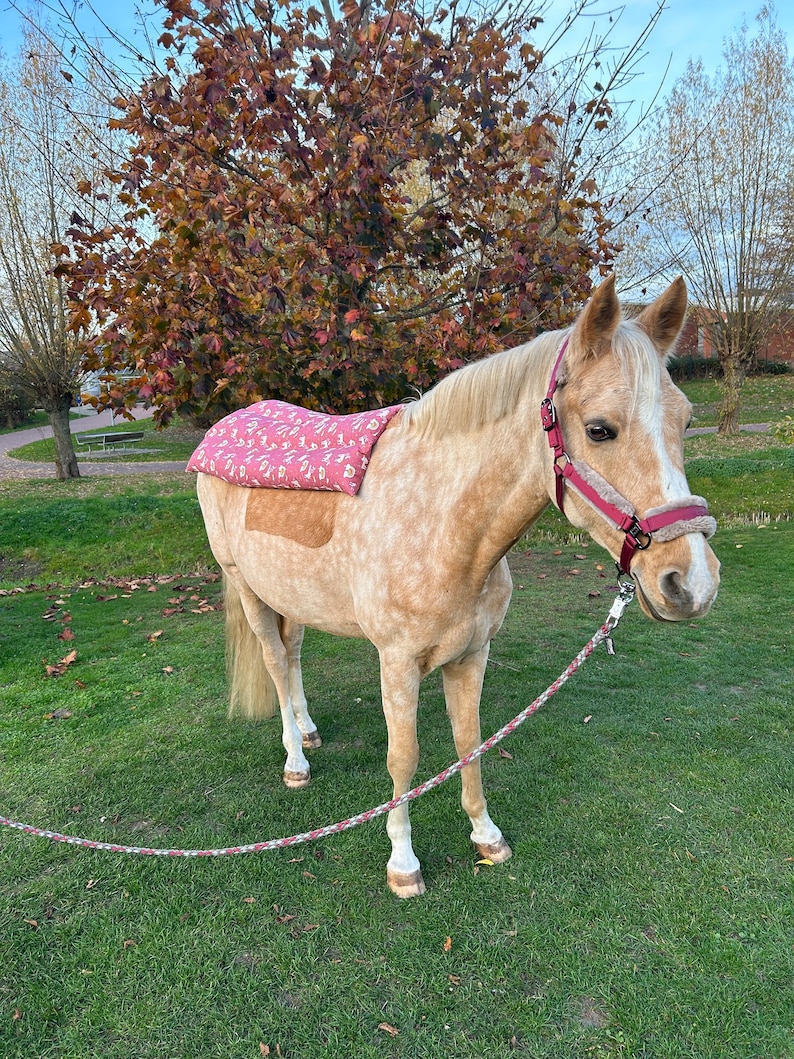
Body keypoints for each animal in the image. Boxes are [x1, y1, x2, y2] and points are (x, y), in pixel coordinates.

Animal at [192, 273, 719, 893]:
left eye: (686, 421)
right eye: (599, 430)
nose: (693, 583)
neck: (444, 525)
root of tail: (223, 427)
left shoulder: (471, 654)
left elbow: (469, 743)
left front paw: (487, 836)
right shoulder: (397, 664)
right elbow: (404, 758)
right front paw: (403, 864)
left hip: (291, 596)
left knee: (293, 654)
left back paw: (309, 729)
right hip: (247, 589)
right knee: (275, 663)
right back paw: (296, 761)